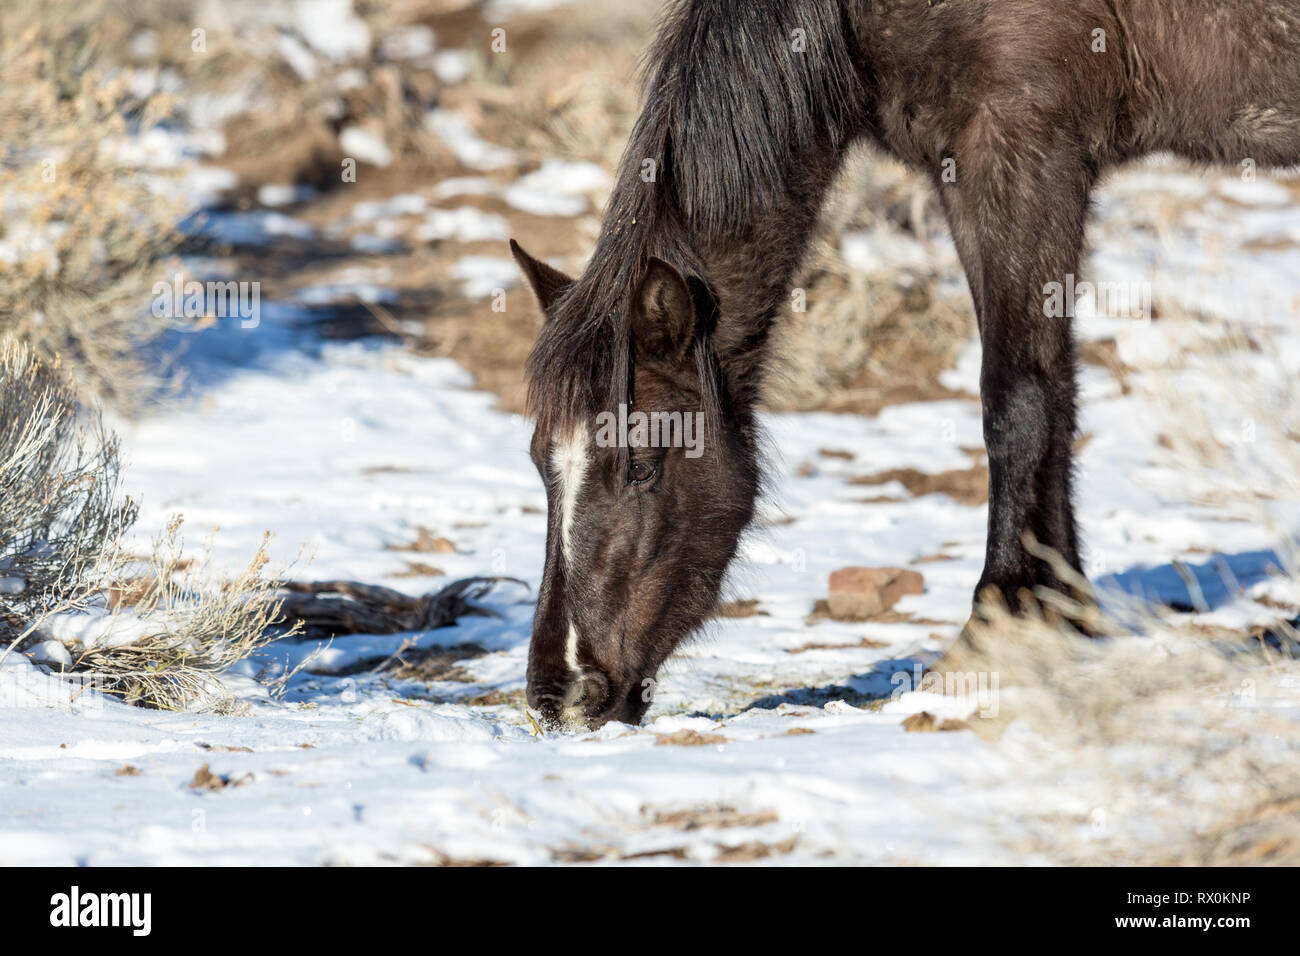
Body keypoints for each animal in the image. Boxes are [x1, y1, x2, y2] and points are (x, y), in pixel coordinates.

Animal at [509, 0, 1300, 728]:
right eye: (539, 461)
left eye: (643, 464)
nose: (561, 695)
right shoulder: (964, 169)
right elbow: (1053, 390)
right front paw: (1057, 615)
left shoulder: (1021, 147)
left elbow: (1017, 400)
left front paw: (1000, 629)